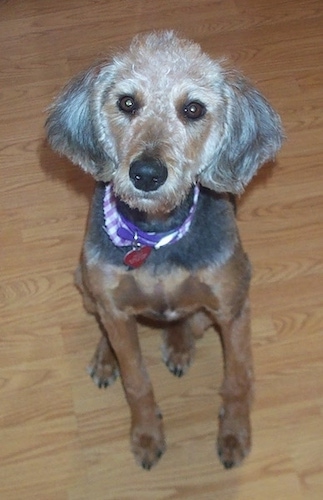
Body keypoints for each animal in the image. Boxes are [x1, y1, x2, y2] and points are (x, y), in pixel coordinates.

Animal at [45, 30, 284, 468]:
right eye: (126, 102)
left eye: (193, 109)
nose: (147, 174)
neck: (155, 237)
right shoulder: (115, 309)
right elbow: (136, 381)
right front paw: (146, 436)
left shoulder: (233, 309)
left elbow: (238, 379)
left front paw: (234, 435)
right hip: (86, 285)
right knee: (107, 327)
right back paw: (106, 359)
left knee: (186, 319)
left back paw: (179, 343)